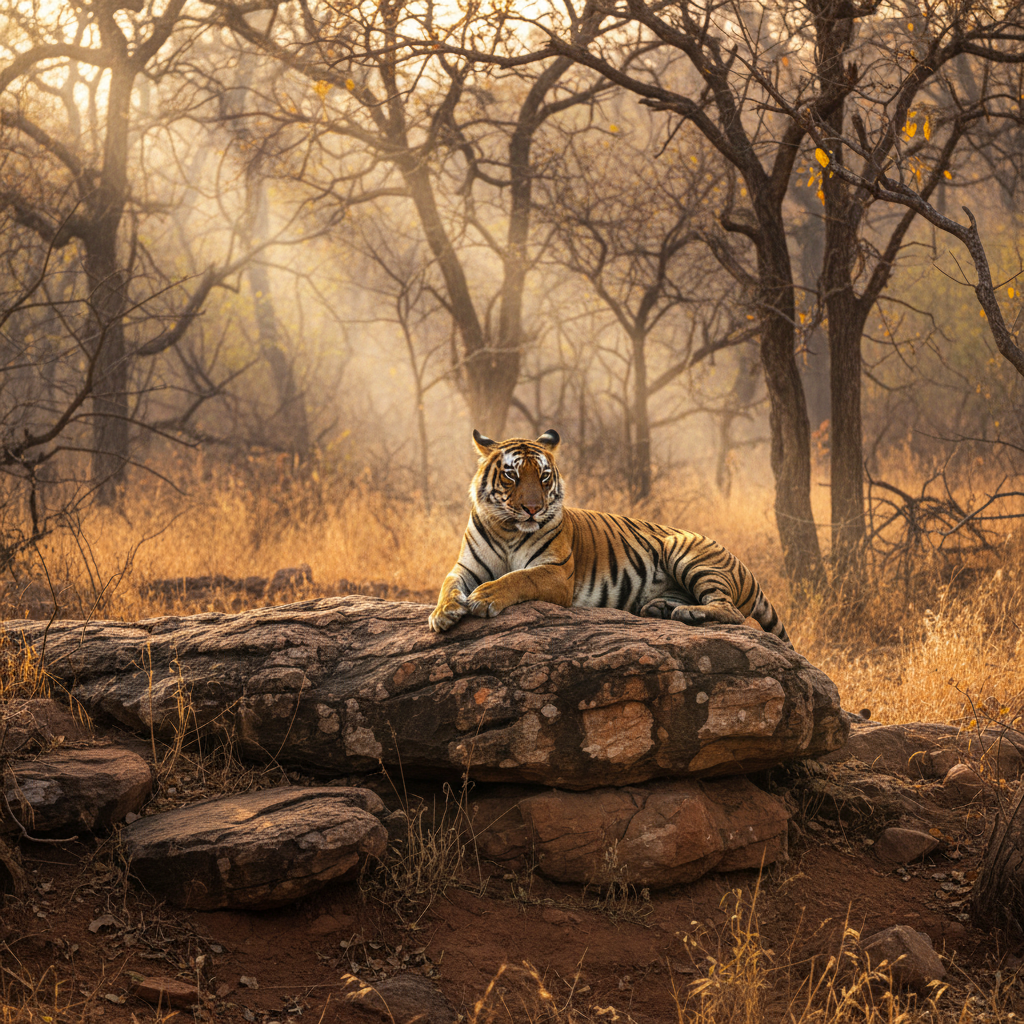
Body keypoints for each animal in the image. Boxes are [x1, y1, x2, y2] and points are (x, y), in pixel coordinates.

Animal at [428, 428, 791, 646]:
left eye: (543, 477)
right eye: (511, 476)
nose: (533, 509)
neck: (506, 528)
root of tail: (748, 572)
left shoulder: (557, 573)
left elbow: (518, 578)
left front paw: (485, 597)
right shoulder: (465, 568)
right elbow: (448, 584)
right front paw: (442, 613)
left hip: (683, 549)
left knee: (730, 611)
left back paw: (690, 614)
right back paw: (659, 608)